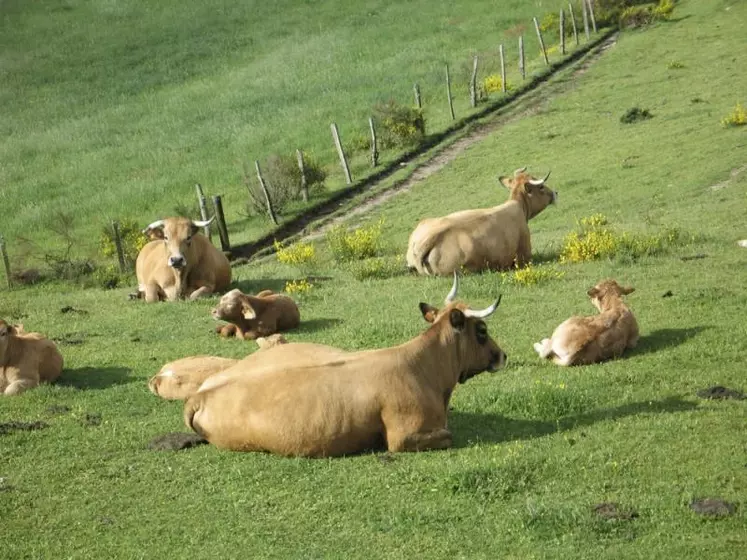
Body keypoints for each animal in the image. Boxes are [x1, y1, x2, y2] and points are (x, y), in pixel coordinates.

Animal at [183, 274, 508, 458]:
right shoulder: (402, 437)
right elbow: (448, 435)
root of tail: (200, 395)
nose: (502, 355)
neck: (423, 368)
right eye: (482, 330)